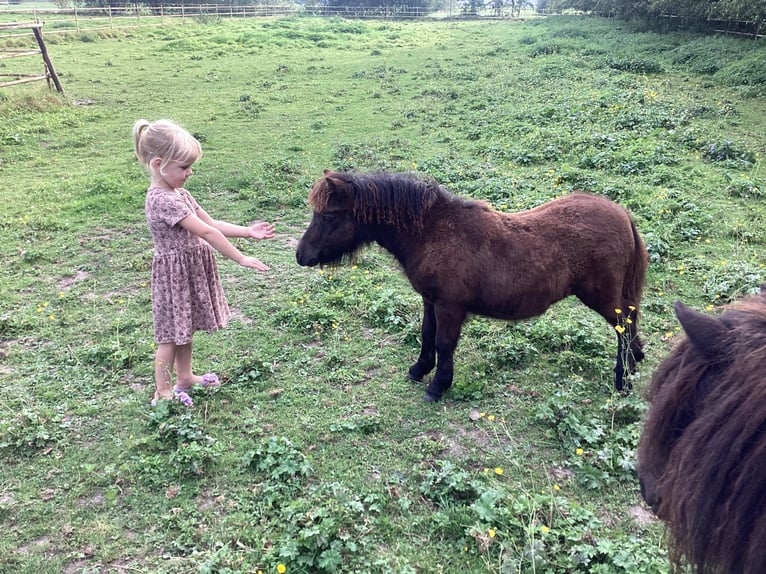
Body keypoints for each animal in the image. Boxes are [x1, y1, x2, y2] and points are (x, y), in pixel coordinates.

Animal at [294, 171, 648, 402]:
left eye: (327, 216)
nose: (301, 255)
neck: (433, 233)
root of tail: (622, 214)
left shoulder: (449, 305)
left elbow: (444, 343)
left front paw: (437, 386)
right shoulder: (430, 301)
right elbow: (427, 335)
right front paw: (419, 370)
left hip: (601, 296)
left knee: (625, 326)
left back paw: (623, 380)